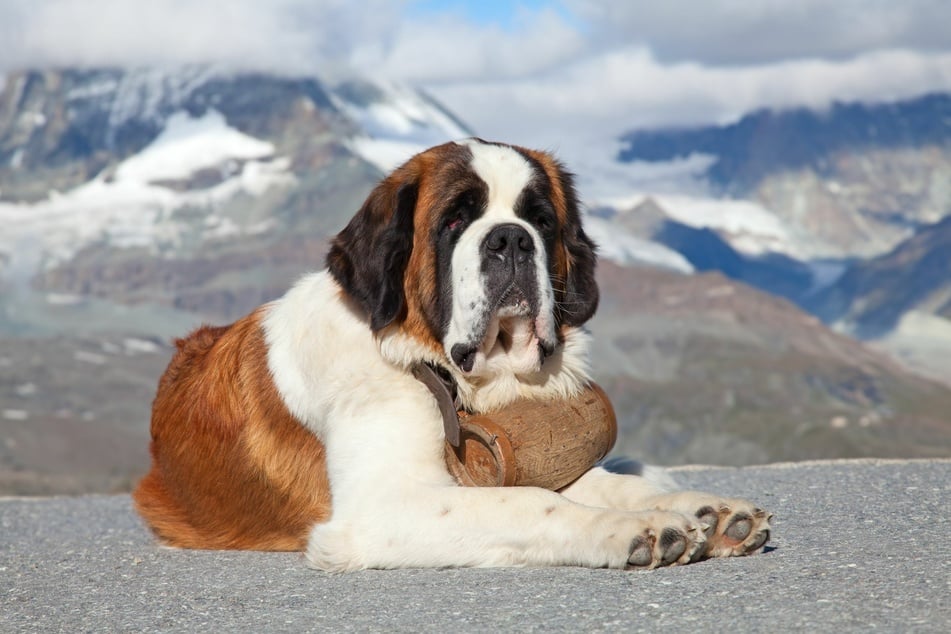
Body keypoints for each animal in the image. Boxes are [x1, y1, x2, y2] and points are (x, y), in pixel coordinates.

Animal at [134, 138, 772, 568]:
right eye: (455, 220)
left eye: (540, 220)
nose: (511, 238)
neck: (445, 373)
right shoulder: (383, 507)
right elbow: (529, 502)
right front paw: (634, 529)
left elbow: (596, 481)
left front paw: (703, 511)